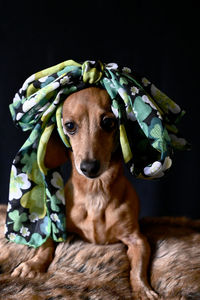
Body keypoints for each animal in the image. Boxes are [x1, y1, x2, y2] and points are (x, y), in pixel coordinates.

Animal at [11, 86, 159, 300]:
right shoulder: (57, 226)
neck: (95, 191)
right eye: (70, 126)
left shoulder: (137, 239)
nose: (89, 167)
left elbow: (137, 268)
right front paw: (32, 265)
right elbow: (46, 245)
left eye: (108, 122)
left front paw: (142, 288)